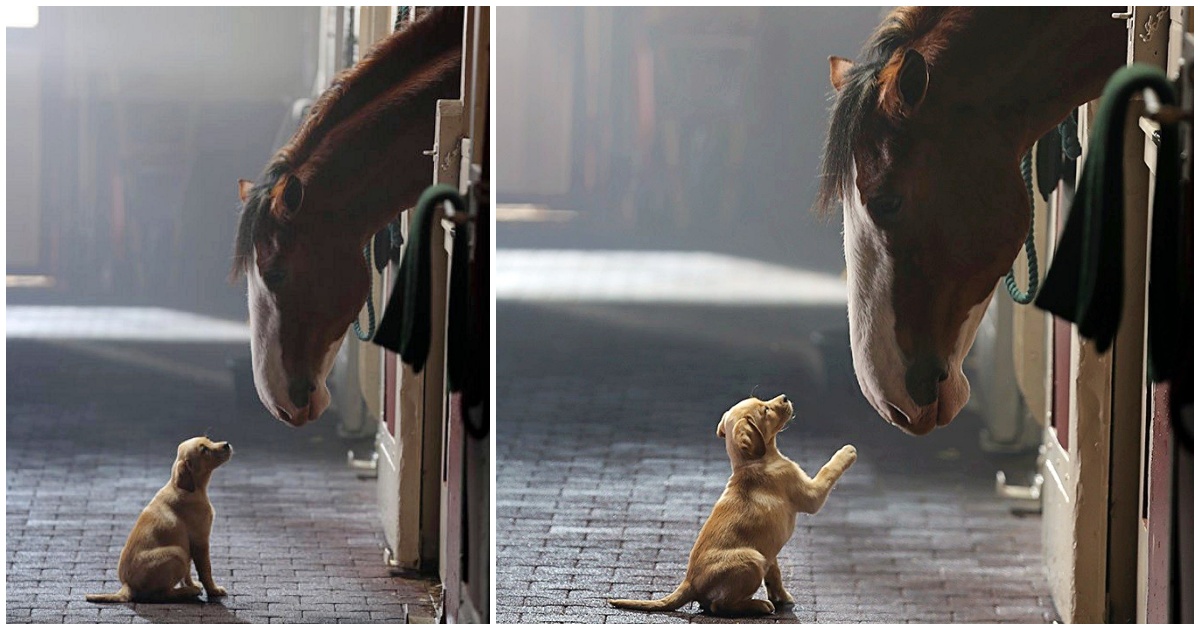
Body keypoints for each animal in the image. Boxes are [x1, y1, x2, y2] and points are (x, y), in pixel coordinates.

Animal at [85, 434, 234, 602]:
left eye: (208, 440)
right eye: (204, 450)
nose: (226, 444)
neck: (187, 489)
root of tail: (127, 586)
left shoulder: (188, 544)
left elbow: (188, 573)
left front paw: (192, 583)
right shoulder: (200, 541)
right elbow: (206, 570)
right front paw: (214, 590)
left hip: (181, 551)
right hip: (177, 553)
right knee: (161, 594)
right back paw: (188, 592)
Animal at [609, 396, 854, 614]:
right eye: (765, 410)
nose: (785, 398)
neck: (752, 462)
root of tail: (690, 582)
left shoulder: (770, 552)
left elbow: (775, 575)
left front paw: (782, 597)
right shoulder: (811, 495)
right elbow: (829, 470)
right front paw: (847, 451)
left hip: (760, 556)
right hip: (753, 559)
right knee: (719, 606)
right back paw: (759, 605)